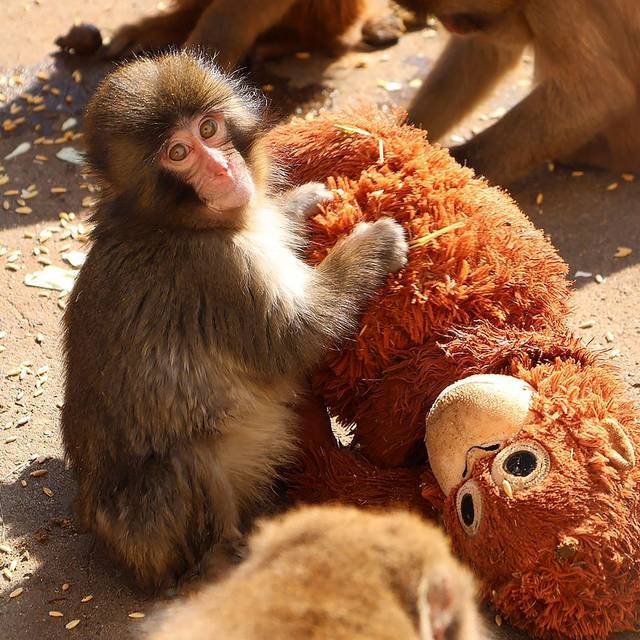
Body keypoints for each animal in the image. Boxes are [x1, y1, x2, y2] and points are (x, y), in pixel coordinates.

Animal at [61, 51, 408, 591]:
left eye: (209, 128)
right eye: (178, 152)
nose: (224, 169)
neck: (174, 222)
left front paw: (301, 202)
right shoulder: (219, 271)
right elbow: (294, 338)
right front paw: (372, 245)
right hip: (153, 529)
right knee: (184, 463)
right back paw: (224, 559)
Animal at [398, 0, 640, 184]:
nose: (451, 26)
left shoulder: (555, 5)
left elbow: (597, 95)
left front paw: (452, 170)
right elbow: (484, 50)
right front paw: (404, 131)